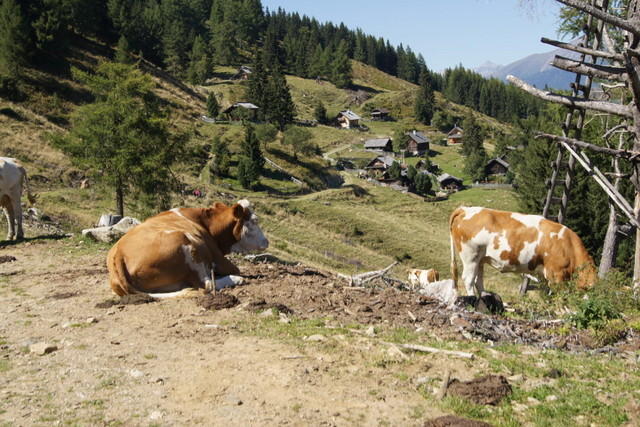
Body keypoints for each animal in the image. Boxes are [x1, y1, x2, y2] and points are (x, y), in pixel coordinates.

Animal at [107, 200, 268, 298]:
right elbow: (235, 268)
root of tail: (118, 253)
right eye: (255, 221)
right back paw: (236, 279)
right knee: (207, 284)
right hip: (185, 242)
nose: (266, 241)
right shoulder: (216, 255)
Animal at [450, 207, 596, 298]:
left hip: (480, 259)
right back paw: (473, 299)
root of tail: (465, 209)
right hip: (470, 256)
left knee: (478, 280)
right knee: (469, 279)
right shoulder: (556, 274)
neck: (569, 245)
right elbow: (560, 297)